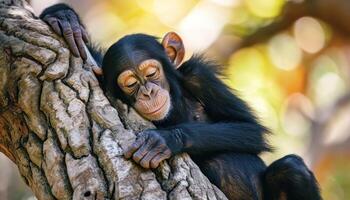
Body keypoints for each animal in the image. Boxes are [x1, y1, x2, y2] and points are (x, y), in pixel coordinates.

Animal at [39, 3, 322, 200]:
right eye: (130, 84)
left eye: (151, 74)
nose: (148, 92)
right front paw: (62, 16)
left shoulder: (200, 76)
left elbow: (249, 128)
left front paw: (166, 140)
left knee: (291, 168)